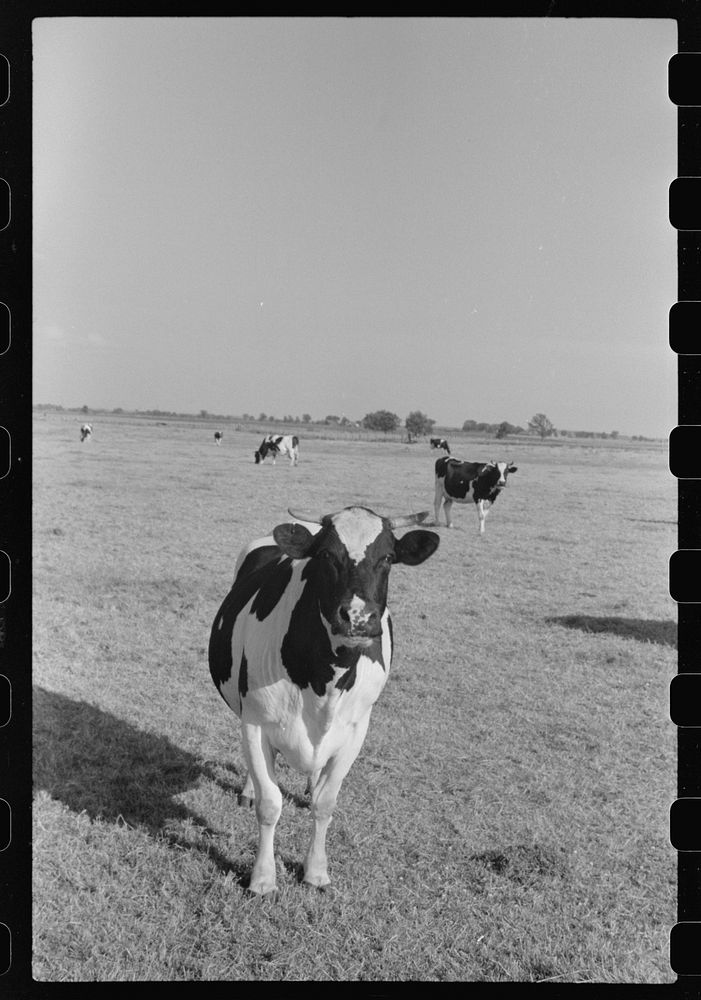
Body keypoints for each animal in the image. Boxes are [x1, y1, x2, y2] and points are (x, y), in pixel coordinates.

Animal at [206, 504, 438, 896]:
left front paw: (315, 870)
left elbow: (326, 803)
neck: (322, 682)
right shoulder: (254, 722)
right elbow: (270, 803)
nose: (358, 617)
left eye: (387, 557)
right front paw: (263, 878)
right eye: (328, 556)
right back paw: (250, 790)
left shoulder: (356, 730)